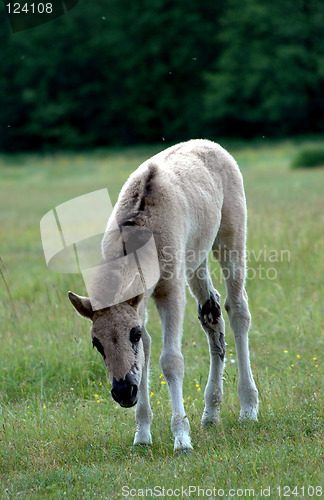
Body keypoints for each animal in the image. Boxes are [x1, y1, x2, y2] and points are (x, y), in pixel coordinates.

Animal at [67, 139, 258, 452]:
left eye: (132, 334)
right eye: (96, 343)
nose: (123, 392)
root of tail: (210, 144)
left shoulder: (171, 291)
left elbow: (171, 360)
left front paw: (181, 437)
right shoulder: (139, 302)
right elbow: (145, 355)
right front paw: (142, 434)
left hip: (230, 239)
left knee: (238, 310)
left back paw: (248, 407)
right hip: (196, 260)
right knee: (212, 313)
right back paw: (211, 412)